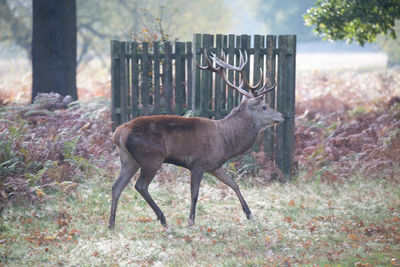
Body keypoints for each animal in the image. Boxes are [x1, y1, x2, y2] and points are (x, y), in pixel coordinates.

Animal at [108, 49, 282, 229]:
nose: (281, 116)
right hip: (151, 157)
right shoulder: (198, 163)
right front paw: (191, 220)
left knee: (116, 186)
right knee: (140, 185)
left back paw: (111, 223)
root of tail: (118, 133)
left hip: (128, 159)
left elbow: (234, 184)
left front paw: (249, 214)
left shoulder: (215, 165)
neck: (226, 142)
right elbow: (195, 193)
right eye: (264, 106)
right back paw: (162, 218)